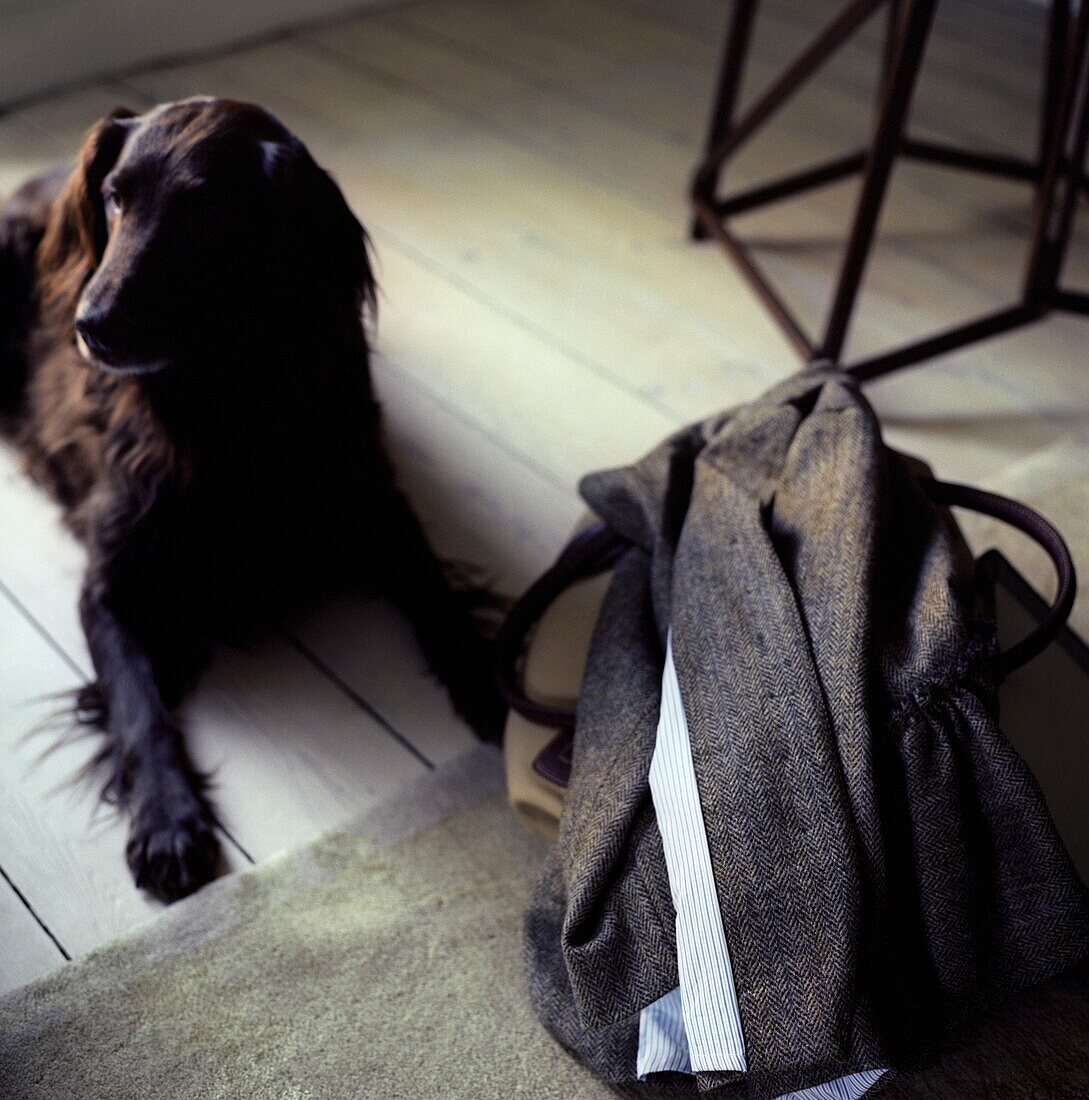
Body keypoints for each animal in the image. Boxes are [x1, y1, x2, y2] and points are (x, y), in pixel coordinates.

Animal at [0, 96, 508, 902]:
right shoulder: (112, 579)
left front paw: (485, 677)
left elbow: (435, 594)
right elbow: (139, 705)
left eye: (203, 212)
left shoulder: (372, 501)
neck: (223, 394)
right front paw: (167, 820)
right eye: (114, 196)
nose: (90, 325)